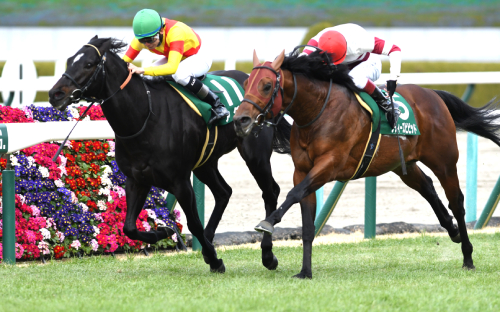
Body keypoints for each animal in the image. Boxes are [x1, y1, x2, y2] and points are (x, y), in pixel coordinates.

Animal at [48, 37, 292, 272]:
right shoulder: (137, 179)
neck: (146, 116)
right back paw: (209, 243)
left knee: (270, 192)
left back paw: (267, 255)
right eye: (69, 61)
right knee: (224, 192)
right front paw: (164, 232)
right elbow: (129, 227)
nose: (54, 94)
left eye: (89, 64)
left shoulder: (180, 181)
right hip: (205, 162)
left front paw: (215, 261)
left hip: (255, 155)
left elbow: (193, 223)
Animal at [233, 50, 500, 280]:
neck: (317, 110)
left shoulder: (330, 165)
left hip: (444, 161)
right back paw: (452, 230)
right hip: (402, 164)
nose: (240, 119)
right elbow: (306, 222)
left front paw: (268, 222)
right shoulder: (302, 171)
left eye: (267, 85)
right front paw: (305, 272)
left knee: (456, 202)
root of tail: (433, 94)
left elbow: (293, 194)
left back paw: (468, 257)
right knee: (427, 187)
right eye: (246, 85)